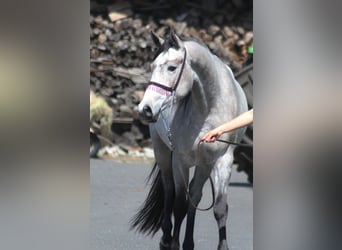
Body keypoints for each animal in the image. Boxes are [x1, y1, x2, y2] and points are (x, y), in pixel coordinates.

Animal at [130, 31, 246, 250]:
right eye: (151, 66)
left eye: (172, 68)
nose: (145, 109)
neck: (209, 107)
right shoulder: (179, 161)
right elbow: (179, 204)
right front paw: (173, 242)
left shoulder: (221, 161)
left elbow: (219, 208)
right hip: (163, 153)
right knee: (170, 191)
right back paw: (167, 238)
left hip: (203, 165)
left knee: (195, 195)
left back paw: (188, 243)